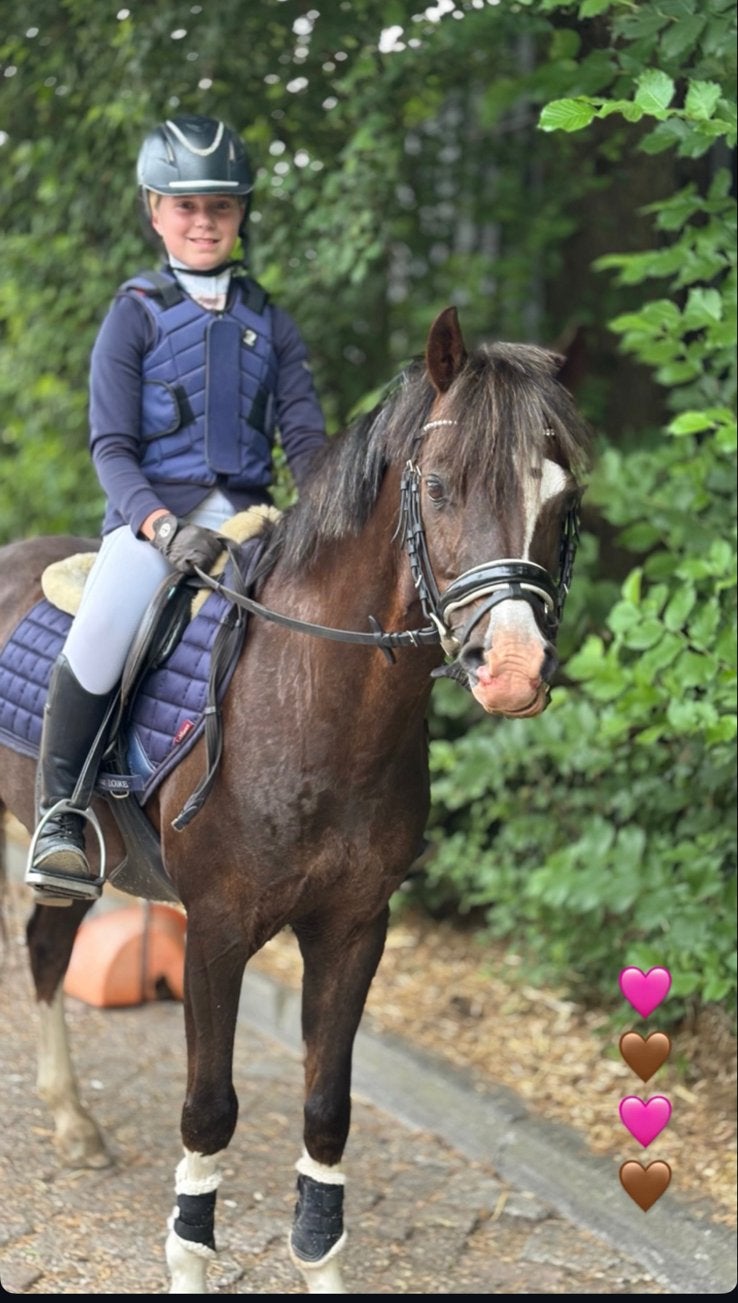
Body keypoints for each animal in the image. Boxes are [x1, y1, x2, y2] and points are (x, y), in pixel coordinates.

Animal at [0, 306, 589, 1294]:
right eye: (438, 484)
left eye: (561, 497)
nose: (510, 668)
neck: (316, 704)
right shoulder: (215, 928)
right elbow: (208, 1107)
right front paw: (190, 1263)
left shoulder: (353, 928)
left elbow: (326, 1108)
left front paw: (320, 1265)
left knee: (47, 946)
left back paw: (76, 1124)